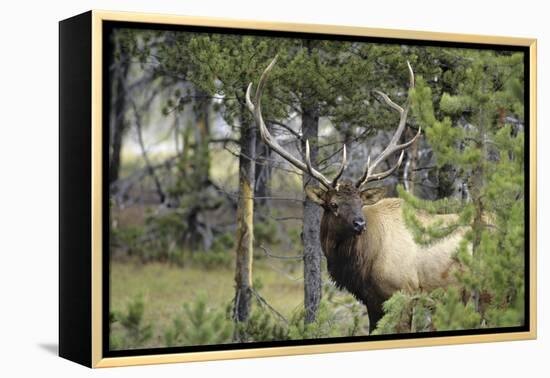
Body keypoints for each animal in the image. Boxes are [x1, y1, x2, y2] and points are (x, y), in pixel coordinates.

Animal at [246, 56, 466, 330]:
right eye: (333, 205)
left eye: (361, 203)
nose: (360, 223)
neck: (363, 265)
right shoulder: (372, 301)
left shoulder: (405, 293)